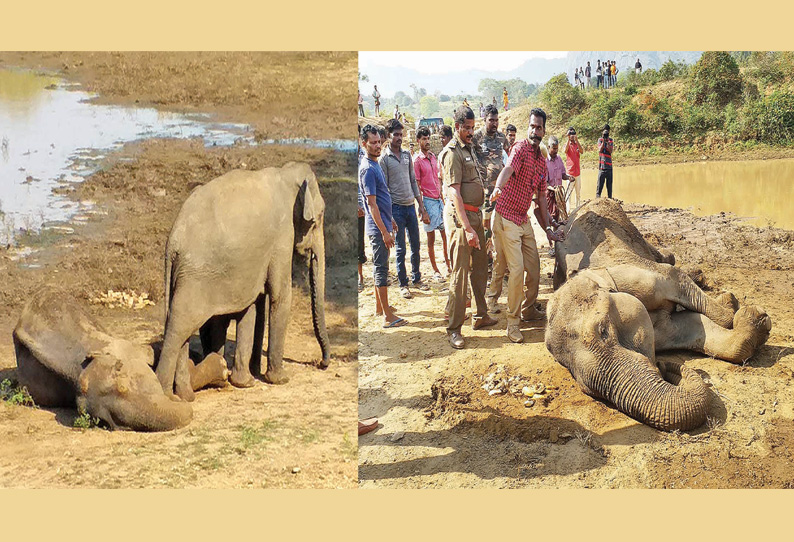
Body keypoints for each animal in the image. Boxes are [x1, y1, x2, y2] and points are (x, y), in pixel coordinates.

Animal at [156, 162, 330, 400]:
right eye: (319, 218)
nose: (322, 363)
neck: (285, 173)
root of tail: (172, 242)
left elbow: (256, 304)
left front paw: (248, 379)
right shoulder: (282, 236)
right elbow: (280, 295)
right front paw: (280, 379)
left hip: (182, 276)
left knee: (180, 327)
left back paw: (185, 394)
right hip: (194, 276)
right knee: (180, 325)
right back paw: (167, 395)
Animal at [544, 200, 768, 434]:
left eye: (603, 331)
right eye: (564, 364)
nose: (662, 365)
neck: (591, 274)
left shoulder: (640, 276)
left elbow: (676, 278)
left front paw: (740, 307)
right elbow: (689, 326)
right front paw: (754, 320)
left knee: (665, 259)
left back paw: (698, 275)